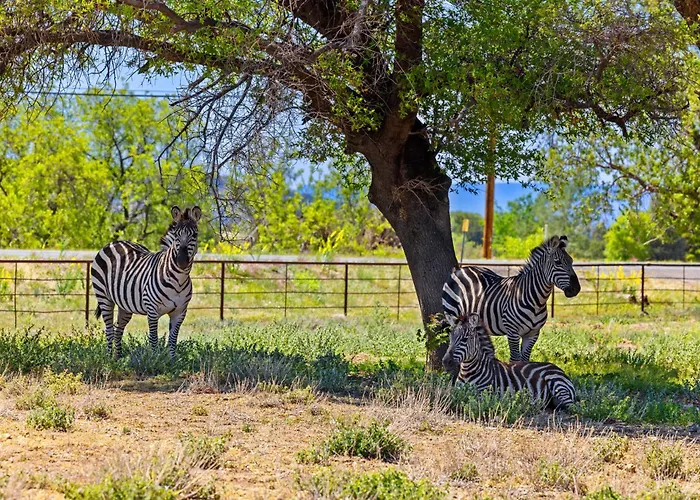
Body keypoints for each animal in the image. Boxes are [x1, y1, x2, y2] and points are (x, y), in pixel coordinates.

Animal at [91, 206, 201, 359]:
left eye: (195, 235)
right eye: (176, 236)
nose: (182, 261)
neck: (178, 280)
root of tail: (114, 243)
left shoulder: (180, 313)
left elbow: (173, 340)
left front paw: (172, 361)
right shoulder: (152, 310)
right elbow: (154, 340)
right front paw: (154, 361)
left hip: (125, 305)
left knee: (118, 329)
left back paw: (118, 358)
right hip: (104, 297)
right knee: (109, 330)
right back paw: (109, 359)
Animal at [442, 235, 580, 362]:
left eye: (572, 261)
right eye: (558, 262)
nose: (576, 289)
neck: (536, 300)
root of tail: (460, 269)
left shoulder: (533, 334)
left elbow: (525, 360)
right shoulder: (513, 332)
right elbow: (515, 360)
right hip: (452, 315)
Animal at [442, 313, 576, 410]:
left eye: (465, 339)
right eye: (450, 337)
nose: (446, 362)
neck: (467, 371)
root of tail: (558, 369)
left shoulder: (483, 394)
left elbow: (466, 402)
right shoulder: (456, 390)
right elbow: (446, 396)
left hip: (558, 385)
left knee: (571, 407)